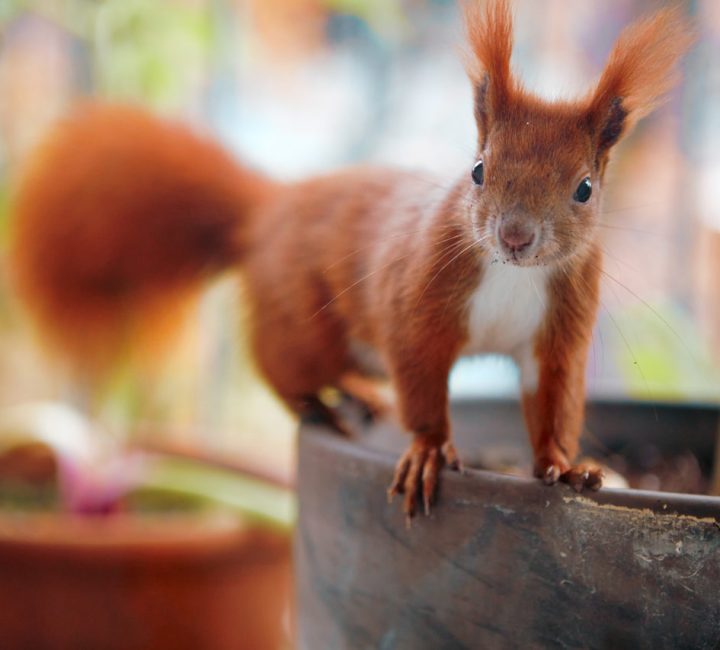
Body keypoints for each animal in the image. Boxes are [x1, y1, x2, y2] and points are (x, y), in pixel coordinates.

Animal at [10, 1, 693, 519]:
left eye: (584, 188)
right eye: (478, 170)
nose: (515, 236)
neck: (512, 277)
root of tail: (270, 210)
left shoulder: (558, 330)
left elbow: (554, 401)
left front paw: (565, 466)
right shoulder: (416, 301)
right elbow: (421, 380)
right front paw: (428, 451)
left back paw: (363, 394)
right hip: (306, 321)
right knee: (277, 361)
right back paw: (314, 404)